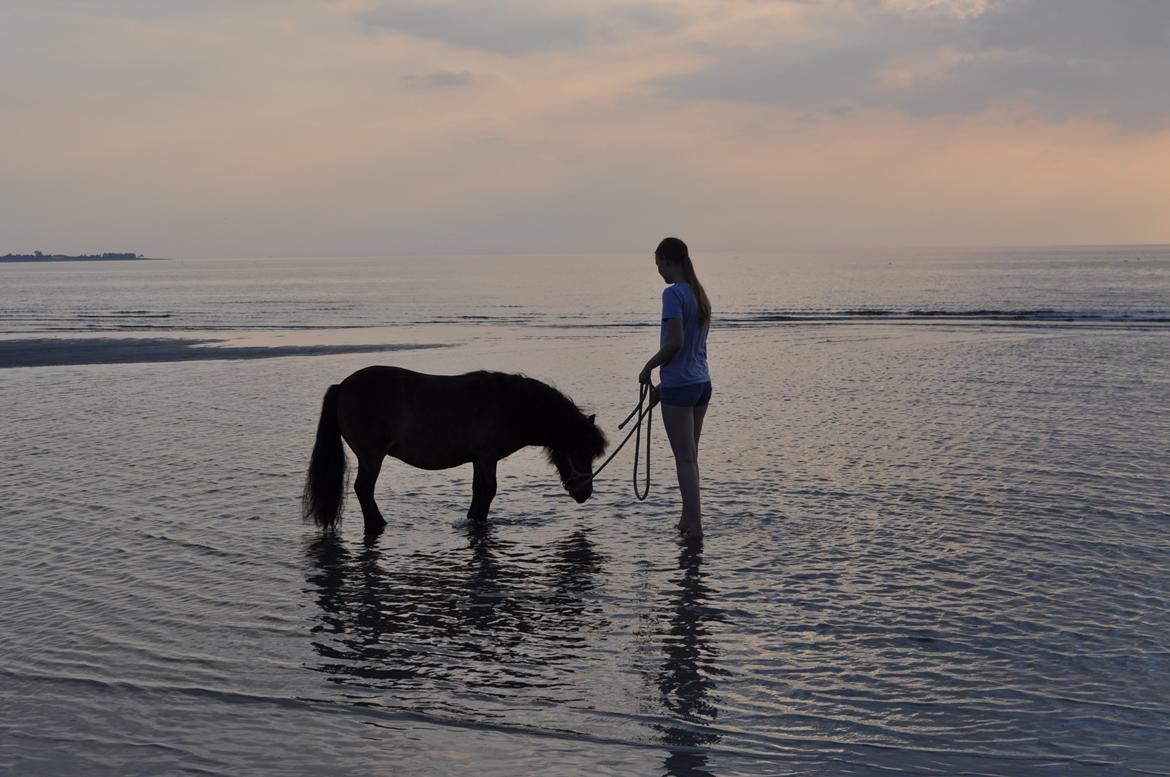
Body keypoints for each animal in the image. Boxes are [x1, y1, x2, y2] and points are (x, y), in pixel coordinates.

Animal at [301, 365, 608, 533]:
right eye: (580, 451)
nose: (584, 493)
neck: (509, 404)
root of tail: (343, 386)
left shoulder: (478, 460)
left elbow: (478, 492)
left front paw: (473, 521)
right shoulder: (487, 457)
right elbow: (488, 492)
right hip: (371, 457)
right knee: (364, 490)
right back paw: (378, 525)